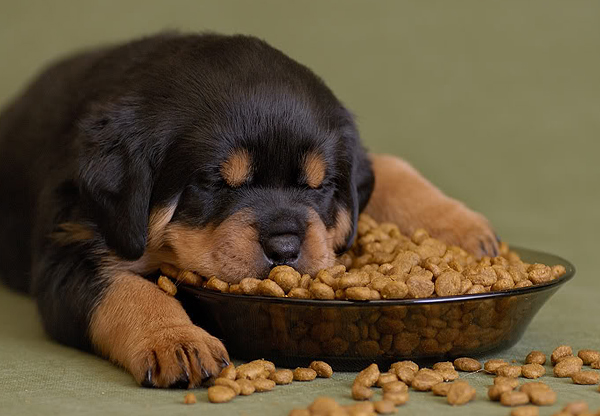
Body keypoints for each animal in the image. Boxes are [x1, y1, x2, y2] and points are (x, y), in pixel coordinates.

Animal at [0, 32, 496, 386]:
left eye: (320, 186)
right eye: (216, 182)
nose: (285, 245)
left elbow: (389, 165)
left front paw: (460, 229)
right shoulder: (67, 250)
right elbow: (127, 289)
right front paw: (178, 341)